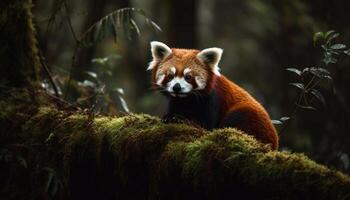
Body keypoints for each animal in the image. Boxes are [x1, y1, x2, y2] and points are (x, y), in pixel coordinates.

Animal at [148, 41, 278, 149]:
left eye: (188, 77)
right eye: (170, 76)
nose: (177, 87)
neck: (187, 99)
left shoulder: (212, 100)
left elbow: (205, 126)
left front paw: (180, 119)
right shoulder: (176, 101)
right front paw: (169, 116)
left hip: (249, 116)